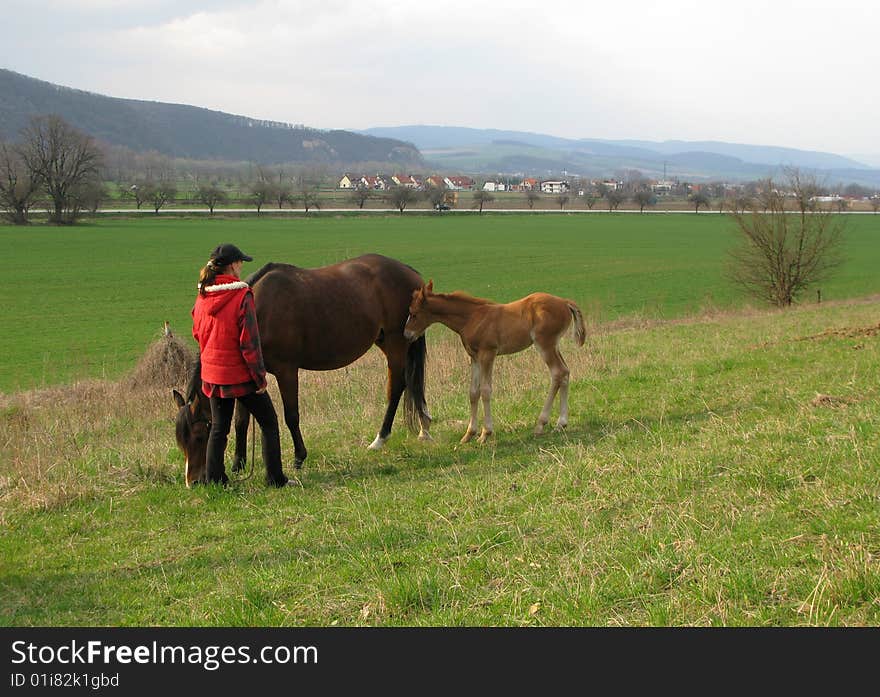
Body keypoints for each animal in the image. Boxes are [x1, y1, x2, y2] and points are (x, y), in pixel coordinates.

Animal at [173, 253, 434, 486]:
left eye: (199, 436)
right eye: (180, 440)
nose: (193, 481)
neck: (260, 308)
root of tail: (410, 273)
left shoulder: (287, 371)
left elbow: (291, 415)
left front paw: (299, 457)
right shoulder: (249, 376)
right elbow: (240, 421)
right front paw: (239, 464)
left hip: (395, 343)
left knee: (397, 386)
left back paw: (380, 438)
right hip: (388, 342)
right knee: (411, 383)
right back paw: (424, 428)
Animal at [400, 280, 580, 444]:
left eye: (413, 313)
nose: (406, 335)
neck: (471, 318)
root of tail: (564, 302)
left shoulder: (488, 354)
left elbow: (485, 390)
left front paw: (485, 433)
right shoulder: (474, 357)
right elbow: (473, 392)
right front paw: (469, 434)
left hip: (544, 344)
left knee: (558, 372)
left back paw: (541, 424)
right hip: (554, 346)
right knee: (565, 372)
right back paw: (561, 423)